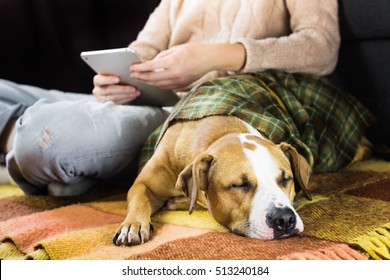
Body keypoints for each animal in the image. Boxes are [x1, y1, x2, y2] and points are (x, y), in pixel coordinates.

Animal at [112, 115, 310, 246]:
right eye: (239, 185)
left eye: (286, 179)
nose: (285, 219)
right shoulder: (143, 185)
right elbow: (140, 200)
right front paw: (133, 225)